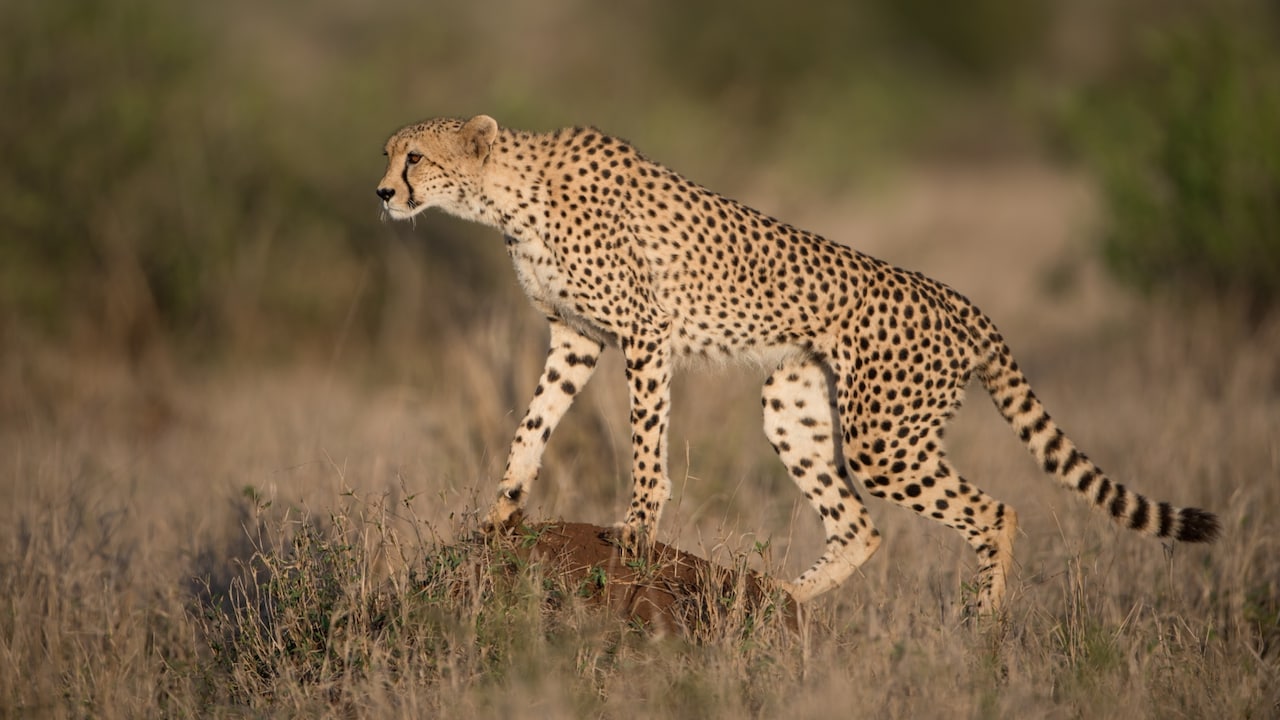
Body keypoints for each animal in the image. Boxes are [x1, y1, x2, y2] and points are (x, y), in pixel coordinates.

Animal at [376, 114, 1219, 614]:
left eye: (415, 156)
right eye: (388, 153)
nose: (383, 192)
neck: (510, 196)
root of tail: (961, 301)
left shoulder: (643, 335)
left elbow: (646, 441)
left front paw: (638, 532)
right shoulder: (575, 337)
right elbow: (534, 423)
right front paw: (501, 510)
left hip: (884, 437)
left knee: (995, 511)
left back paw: (981, 631)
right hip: (795, 407)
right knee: (861, 526)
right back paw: (785, 598)